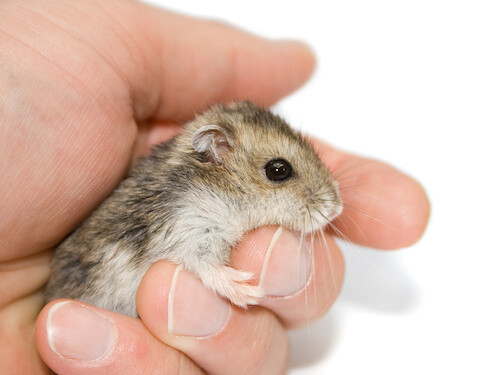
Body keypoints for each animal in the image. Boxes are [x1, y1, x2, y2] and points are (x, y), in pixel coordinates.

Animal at [44, 100, 344, 318]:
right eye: (278, 170)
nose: (336, 208)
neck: (222, 193)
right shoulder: (189, 229)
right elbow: (203, 263)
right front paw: (247, 290)